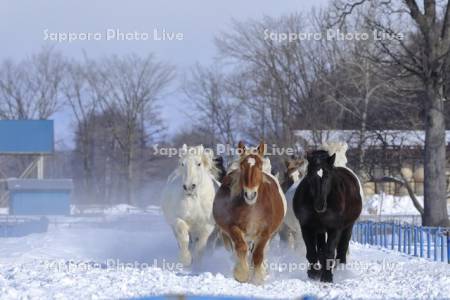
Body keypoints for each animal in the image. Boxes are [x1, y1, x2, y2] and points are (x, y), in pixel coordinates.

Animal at [214, 142, 284, 284]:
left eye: (260, 165)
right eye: (243, 166)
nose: (250, 194)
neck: (252, 208)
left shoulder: (265, 232)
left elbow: (257, 255)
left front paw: (257, 277)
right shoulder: (233, 227)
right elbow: (241, 248)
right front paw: (241, 274)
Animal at [292, 151, 362, 282]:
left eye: (328, 176)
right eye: (310, 176)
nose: (320, 205)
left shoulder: (335, 228)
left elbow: (329, 252)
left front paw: (327, 276)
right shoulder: (306, 226)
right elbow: (312, 251)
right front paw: (313, 273)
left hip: (348, 227)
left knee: (342, 248)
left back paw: (340, 270)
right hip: (319, 230)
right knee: (321, 248)